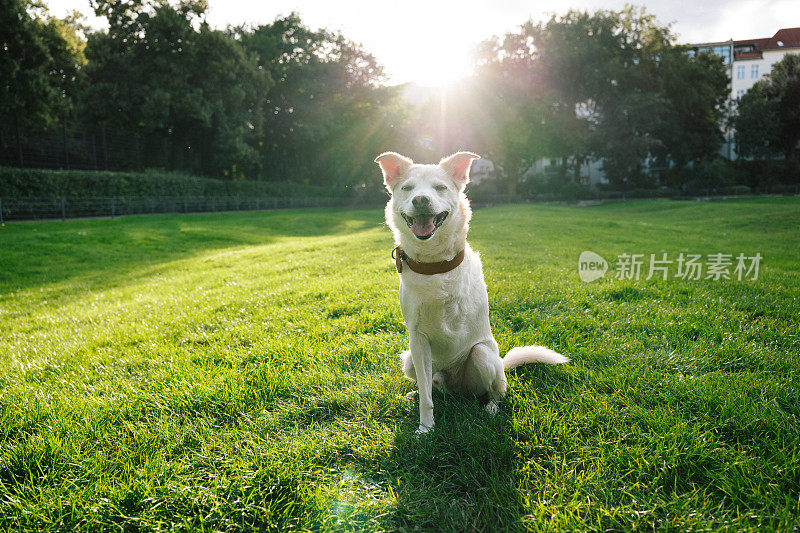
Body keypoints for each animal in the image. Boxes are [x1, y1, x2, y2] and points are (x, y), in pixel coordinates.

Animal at [376, 149, 568, 432]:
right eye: (407, 188)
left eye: (440, 187)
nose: (420, 199)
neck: (434, 265)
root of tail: (457, 389)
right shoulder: (418, 341)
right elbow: (426, 397)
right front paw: (426, 428)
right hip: (409, 359)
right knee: (432, 387)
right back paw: (419, 392)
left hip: (485, 356)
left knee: (495, 390)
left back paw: (490, 407)